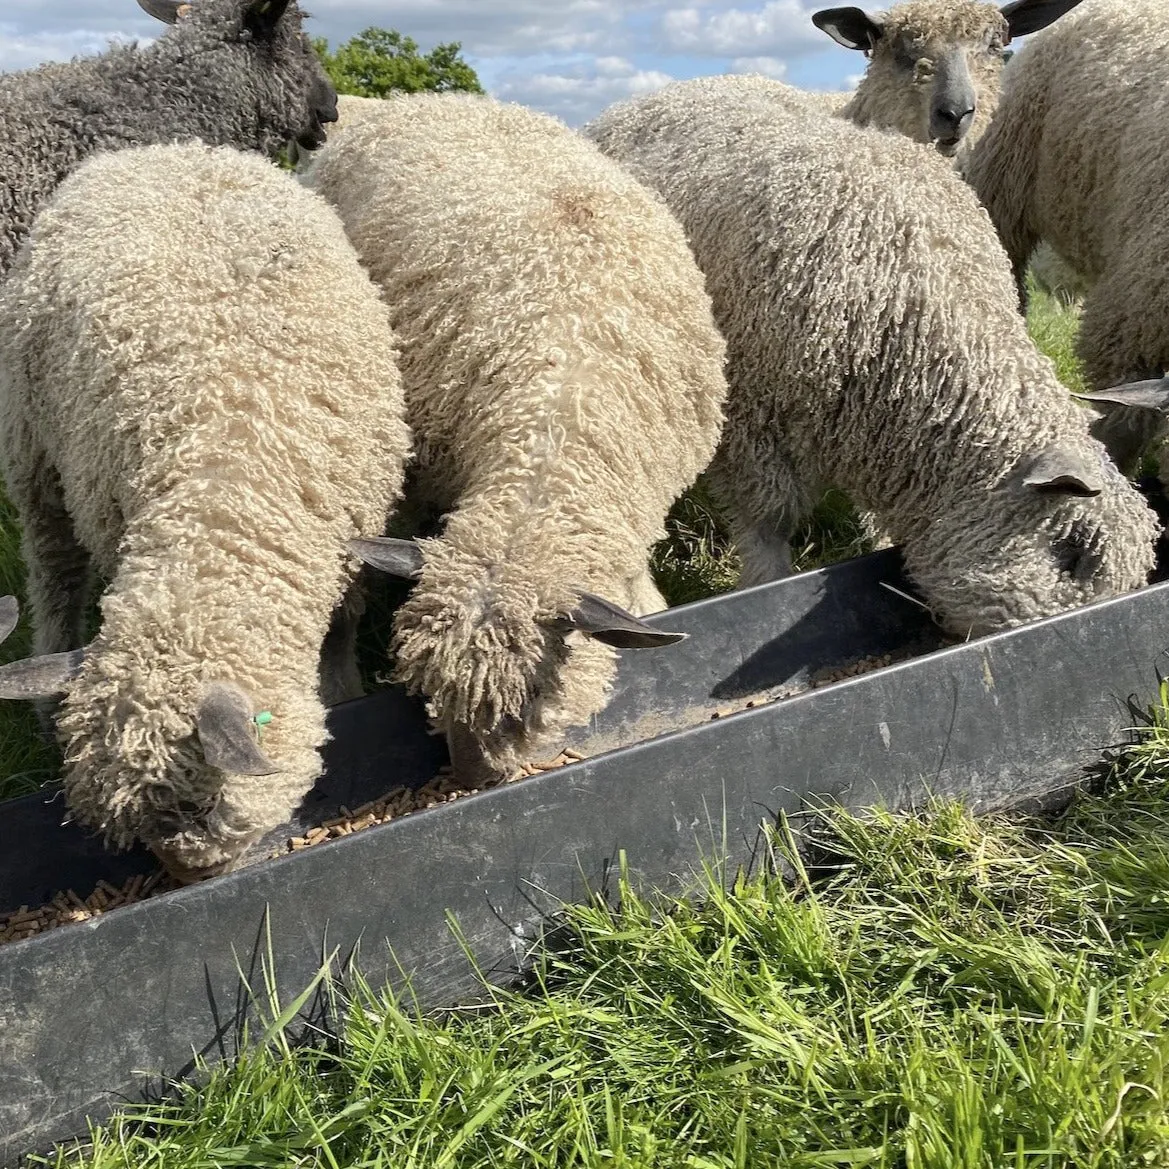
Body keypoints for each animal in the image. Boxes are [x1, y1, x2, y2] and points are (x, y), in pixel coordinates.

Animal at [0, 141, 411, 879]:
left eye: (208, 809)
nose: (198, 879)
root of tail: (154, 150)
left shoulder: (353, 536)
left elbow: (341, 630)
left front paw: (343, 690)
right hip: (33, 452)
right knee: (55, 578)